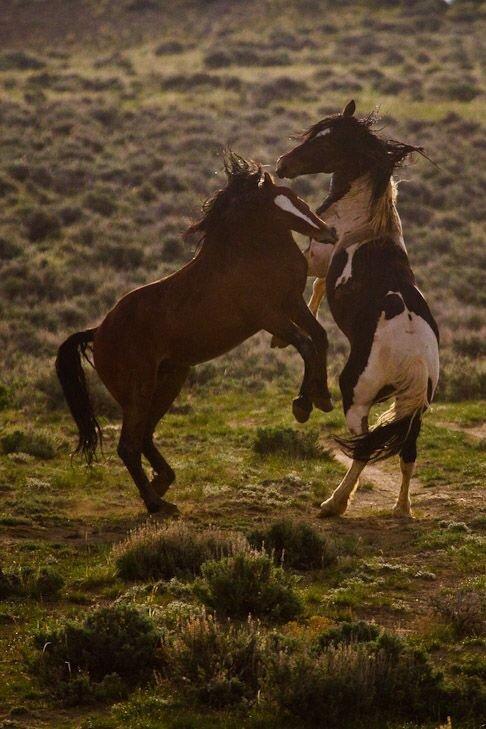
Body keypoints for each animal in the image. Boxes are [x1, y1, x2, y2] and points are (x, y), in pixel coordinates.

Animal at [56, 150, 338, 512]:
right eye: (282, 204)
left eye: (297, 198)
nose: (330, 231)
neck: (252, 255)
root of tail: (98, 332)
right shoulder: (269, 315)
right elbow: (305, 344)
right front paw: (302, 404)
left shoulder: (292, 304)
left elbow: (320, 338)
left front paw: (323, 396)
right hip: (139, 389)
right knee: (129, 445)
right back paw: (156, 503)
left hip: (169, 380)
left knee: (144, 435)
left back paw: (162, 482)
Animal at [276, 99, 438, 516]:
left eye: (325, 143)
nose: (283, 164)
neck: (364, 220)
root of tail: (416, 360)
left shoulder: (316, 258)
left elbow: (312, 286)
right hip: (413, 410)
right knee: (407, 453)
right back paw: (402, 509)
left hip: (357, 393)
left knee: (363, 450)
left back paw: (334, 502)